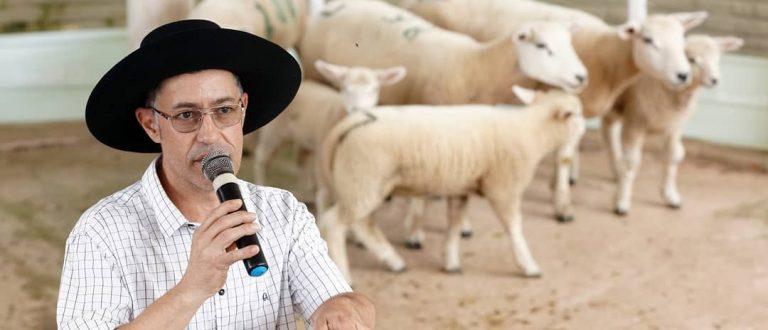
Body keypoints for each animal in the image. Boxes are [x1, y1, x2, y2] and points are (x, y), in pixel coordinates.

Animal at [254, 61, 408, 201]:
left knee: (301, 160)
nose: (358, 110)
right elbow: (325, 194)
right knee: (262, 158)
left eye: (375, 89)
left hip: (305, 138)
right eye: (344, 87)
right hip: (274, 132)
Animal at [298, 0, 588, 105]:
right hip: (313, 72)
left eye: (570, 43)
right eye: (542, 46)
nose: (582, 77)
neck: (475, 65)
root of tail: (328, 7)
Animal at [316, 85, 584, 284]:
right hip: (363, 179)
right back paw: (347, 274)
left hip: (364, 184)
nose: (583, 127)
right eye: (576, 114)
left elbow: (454, 225)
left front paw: (450, 262)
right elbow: (514, 227)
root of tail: (345, 127)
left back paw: (394, 261)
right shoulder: (504, 187)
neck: (532, 131)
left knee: (364, 225)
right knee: (334, 223)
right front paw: (528, 265)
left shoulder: (460, 188)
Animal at [404, 0, 712, 222]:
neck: (607, 56)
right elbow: (565, 155)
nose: (683, 75)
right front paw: (563, 205)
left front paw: (560, 184)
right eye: (647, 40)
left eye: (683, 39)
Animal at [600, 35, 744, 214]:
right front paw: (621, 201)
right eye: (692, 59)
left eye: (717, 57)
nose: (715, 80)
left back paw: (616, 171)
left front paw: (671, 197)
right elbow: (631, 163)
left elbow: (673, 156)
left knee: (608, 129)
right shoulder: (635, 122)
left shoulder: (674, 127)